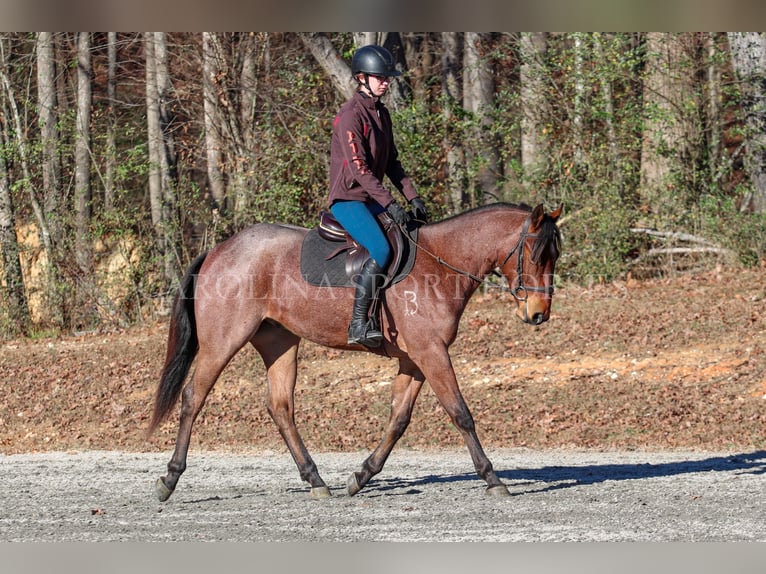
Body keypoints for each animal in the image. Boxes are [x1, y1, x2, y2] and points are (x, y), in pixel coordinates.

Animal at [148, 202, 564, 500]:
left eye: (554, 256)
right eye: (535, 254)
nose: (539, 314)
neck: (441, 262)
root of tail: (219, 251)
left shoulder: (415, 359)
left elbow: (398, 420)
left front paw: (361, 476)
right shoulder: (431, 353)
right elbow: (461, 414)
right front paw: (493, 478)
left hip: (279, 341)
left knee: (281, 408)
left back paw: (316, 481)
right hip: (222, 342)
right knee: (193, 397)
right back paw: (169, 479)